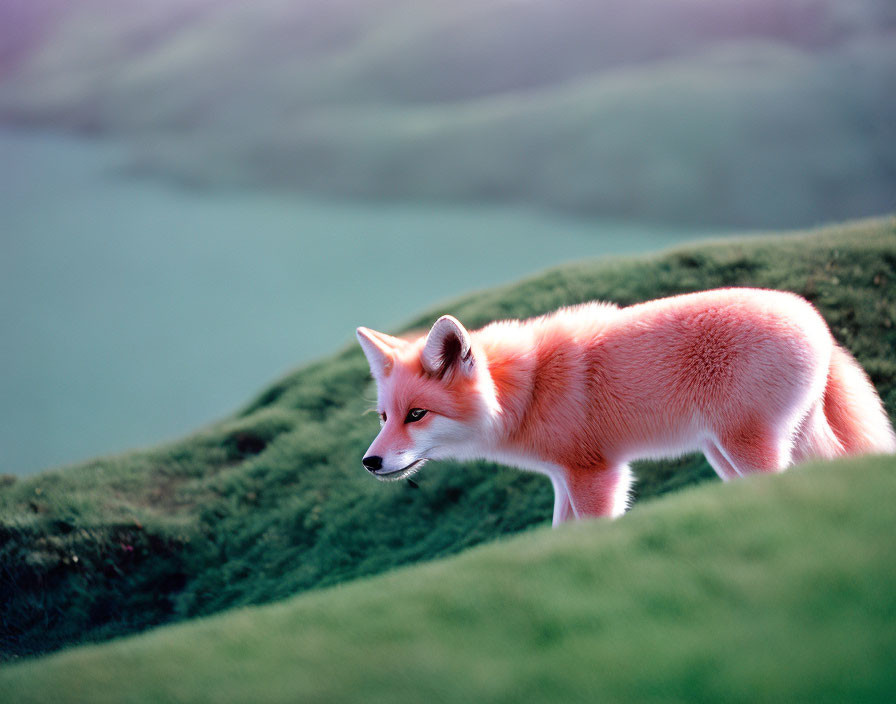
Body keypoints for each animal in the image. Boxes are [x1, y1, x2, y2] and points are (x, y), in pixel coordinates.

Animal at [358, 288, 896, 524]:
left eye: (417, 414)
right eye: (386, 417)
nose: (370, 462)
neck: (527, 391)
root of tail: (813, 317)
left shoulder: (596, 474)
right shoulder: (565, 478)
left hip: (745, 447)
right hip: (729, 452)